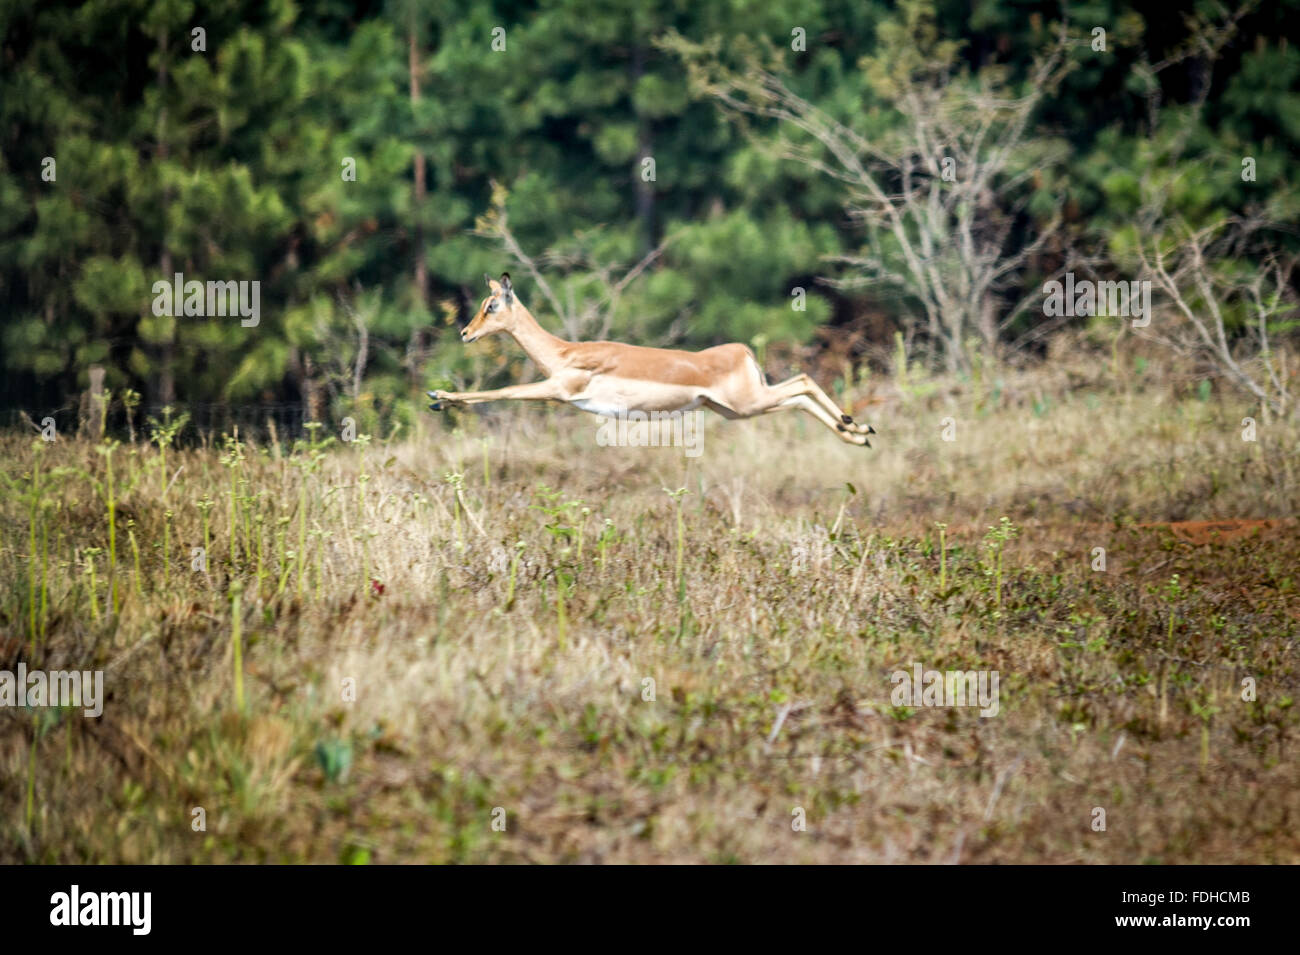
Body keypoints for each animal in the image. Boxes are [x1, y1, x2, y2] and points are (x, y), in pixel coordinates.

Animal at [427, 273, 875, 446]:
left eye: (490, 306)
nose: (464, 333)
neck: (565, 352)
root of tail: (742, 351)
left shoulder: (556, 390)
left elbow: (504, 390)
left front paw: (439, 396)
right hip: (737, 409)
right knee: (799, 395)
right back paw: (857, 432)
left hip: (748, 402)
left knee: (803, 380)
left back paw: (858, 425)